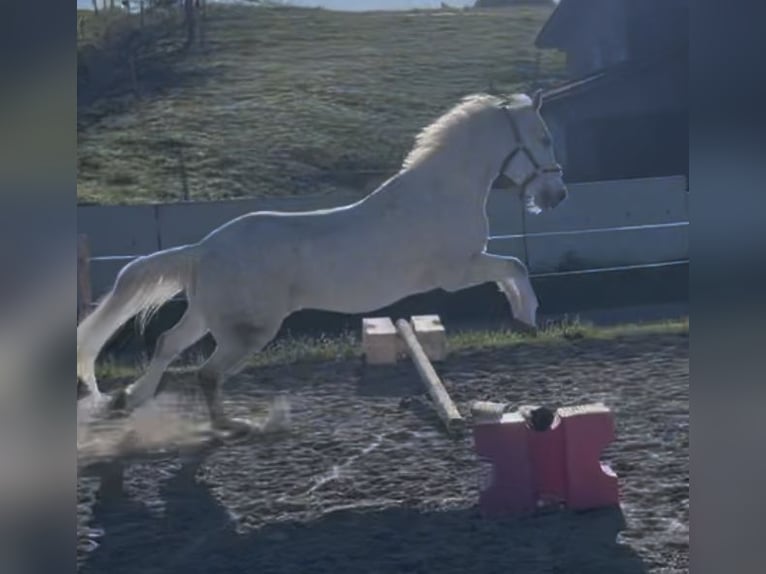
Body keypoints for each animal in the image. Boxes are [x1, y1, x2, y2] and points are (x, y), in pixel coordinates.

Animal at [77, 91, 568, 434]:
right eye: (544, 138)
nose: (556, 196)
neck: (441, 191)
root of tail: (204, 248)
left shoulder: (465, 267)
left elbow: (510, 269)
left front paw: (522, 314)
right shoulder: (458, 271)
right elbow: (514, 266)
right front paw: (527, 315)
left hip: (206, 316)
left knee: (167, 344)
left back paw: (128, 400)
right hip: (247, 332)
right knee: (207, 373)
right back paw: (235, 426)